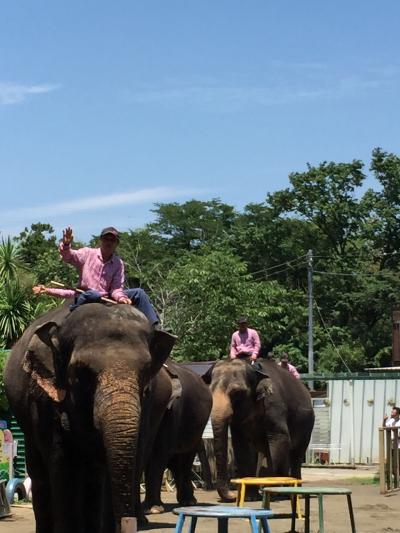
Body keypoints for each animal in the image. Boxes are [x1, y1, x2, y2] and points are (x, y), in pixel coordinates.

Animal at [3, 302, 175, 528]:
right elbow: (62, 460)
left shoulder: (148, 403)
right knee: (40, 472)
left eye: (146, 371)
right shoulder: (45, 400)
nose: (127, 523)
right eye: (82, 371)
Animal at [143, 360, 214, 512]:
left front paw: (153, 509)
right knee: (175, 461)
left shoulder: (173, 409)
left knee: (184, 458)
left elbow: (159, 452)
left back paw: (189, 502)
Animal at [205, 358, 314, 498]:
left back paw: (294, 492)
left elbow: (279, 438)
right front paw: (250, 497)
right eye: (209, 392)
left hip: (307, 424)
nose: (233, 494)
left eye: (236, 393)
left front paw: (278, 493)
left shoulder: (274, 405)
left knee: (296, 454)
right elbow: (241, 446)